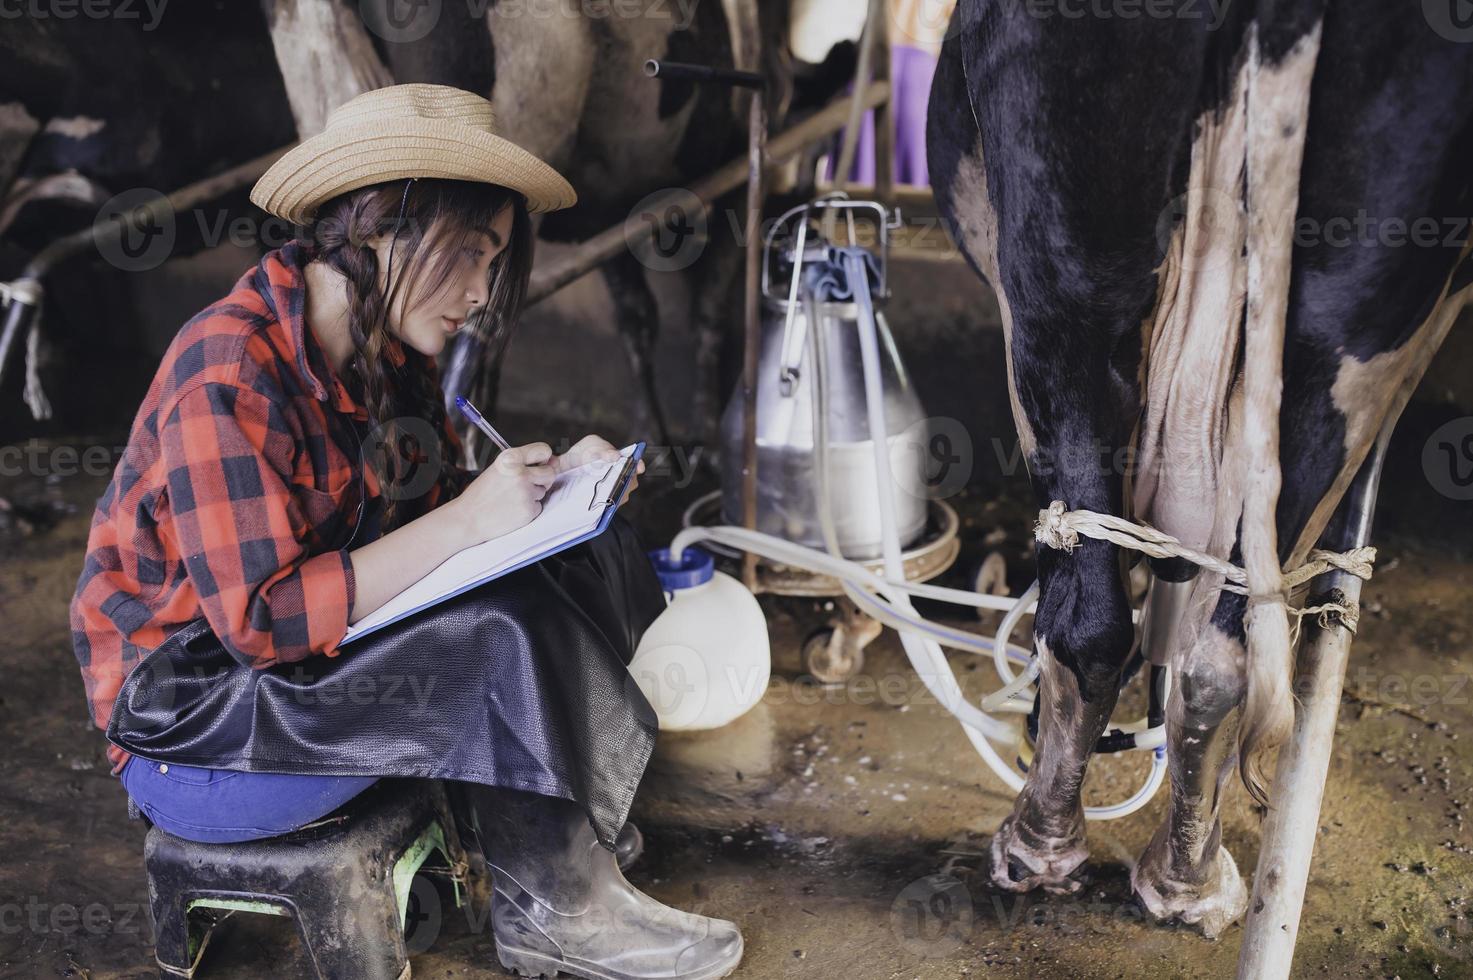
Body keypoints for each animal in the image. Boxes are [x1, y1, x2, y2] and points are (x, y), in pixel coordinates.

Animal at [925, 0, 1467, 937]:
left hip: (1057, 261)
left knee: (1090, 620)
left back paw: (1040, 848)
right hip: (1351, 319)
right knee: (1222, 647)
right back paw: (1187, 879)